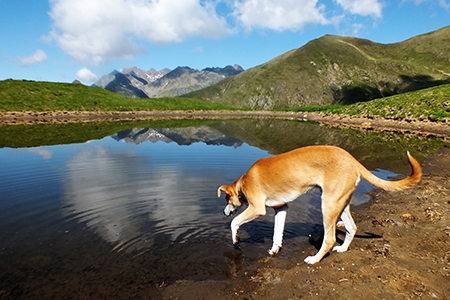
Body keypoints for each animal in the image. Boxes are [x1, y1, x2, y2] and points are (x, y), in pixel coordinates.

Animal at [218, 145, 422, 264]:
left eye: (226, 199)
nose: (224, 212)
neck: (242, 183)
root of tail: (353, 160)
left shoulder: (257, 208)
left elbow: (234, 223)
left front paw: (236, 240)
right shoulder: (281, 209)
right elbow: (277, 234)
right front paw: (275, 250)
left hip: (329, 204)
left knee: (330, 239)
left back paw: (315, 259)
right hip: (341, 202)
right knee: (352, 227)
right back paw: (343, 248)